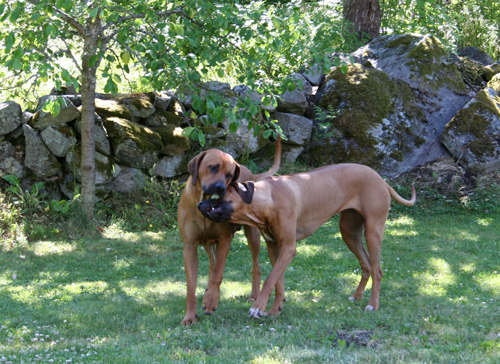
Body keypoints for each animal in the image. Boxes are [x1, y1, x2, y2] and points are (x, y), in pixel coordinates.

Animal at [178, 138, 282, 326]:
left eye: (229, 175)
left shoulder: (225, 239)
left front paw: (211, 300)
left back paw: (253, 295)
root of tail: (251, 173)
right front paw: (189, 316)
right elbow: (191, 286)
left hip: (252, 234)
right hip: (208, 244)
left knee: (255, 266)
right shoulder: (189, 247)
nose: (220, 187)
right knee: (212, 264)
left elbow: (218, 273)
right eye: (213, 167)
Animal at [197, 164, 416, 318]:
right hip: (349, 232)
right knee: (367, 265)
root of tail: (380, 179)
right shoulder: (275, 248)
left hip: (373, 231)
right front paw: (275, 309)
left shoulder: (288, 248)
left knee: (378, 270)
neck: (268, 200)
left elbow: (270, 280)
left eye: (217, 195)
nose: (199, 205)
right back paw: (357, 295)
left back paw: (373, 304)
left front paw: (257, 308)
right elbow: (278, 282)